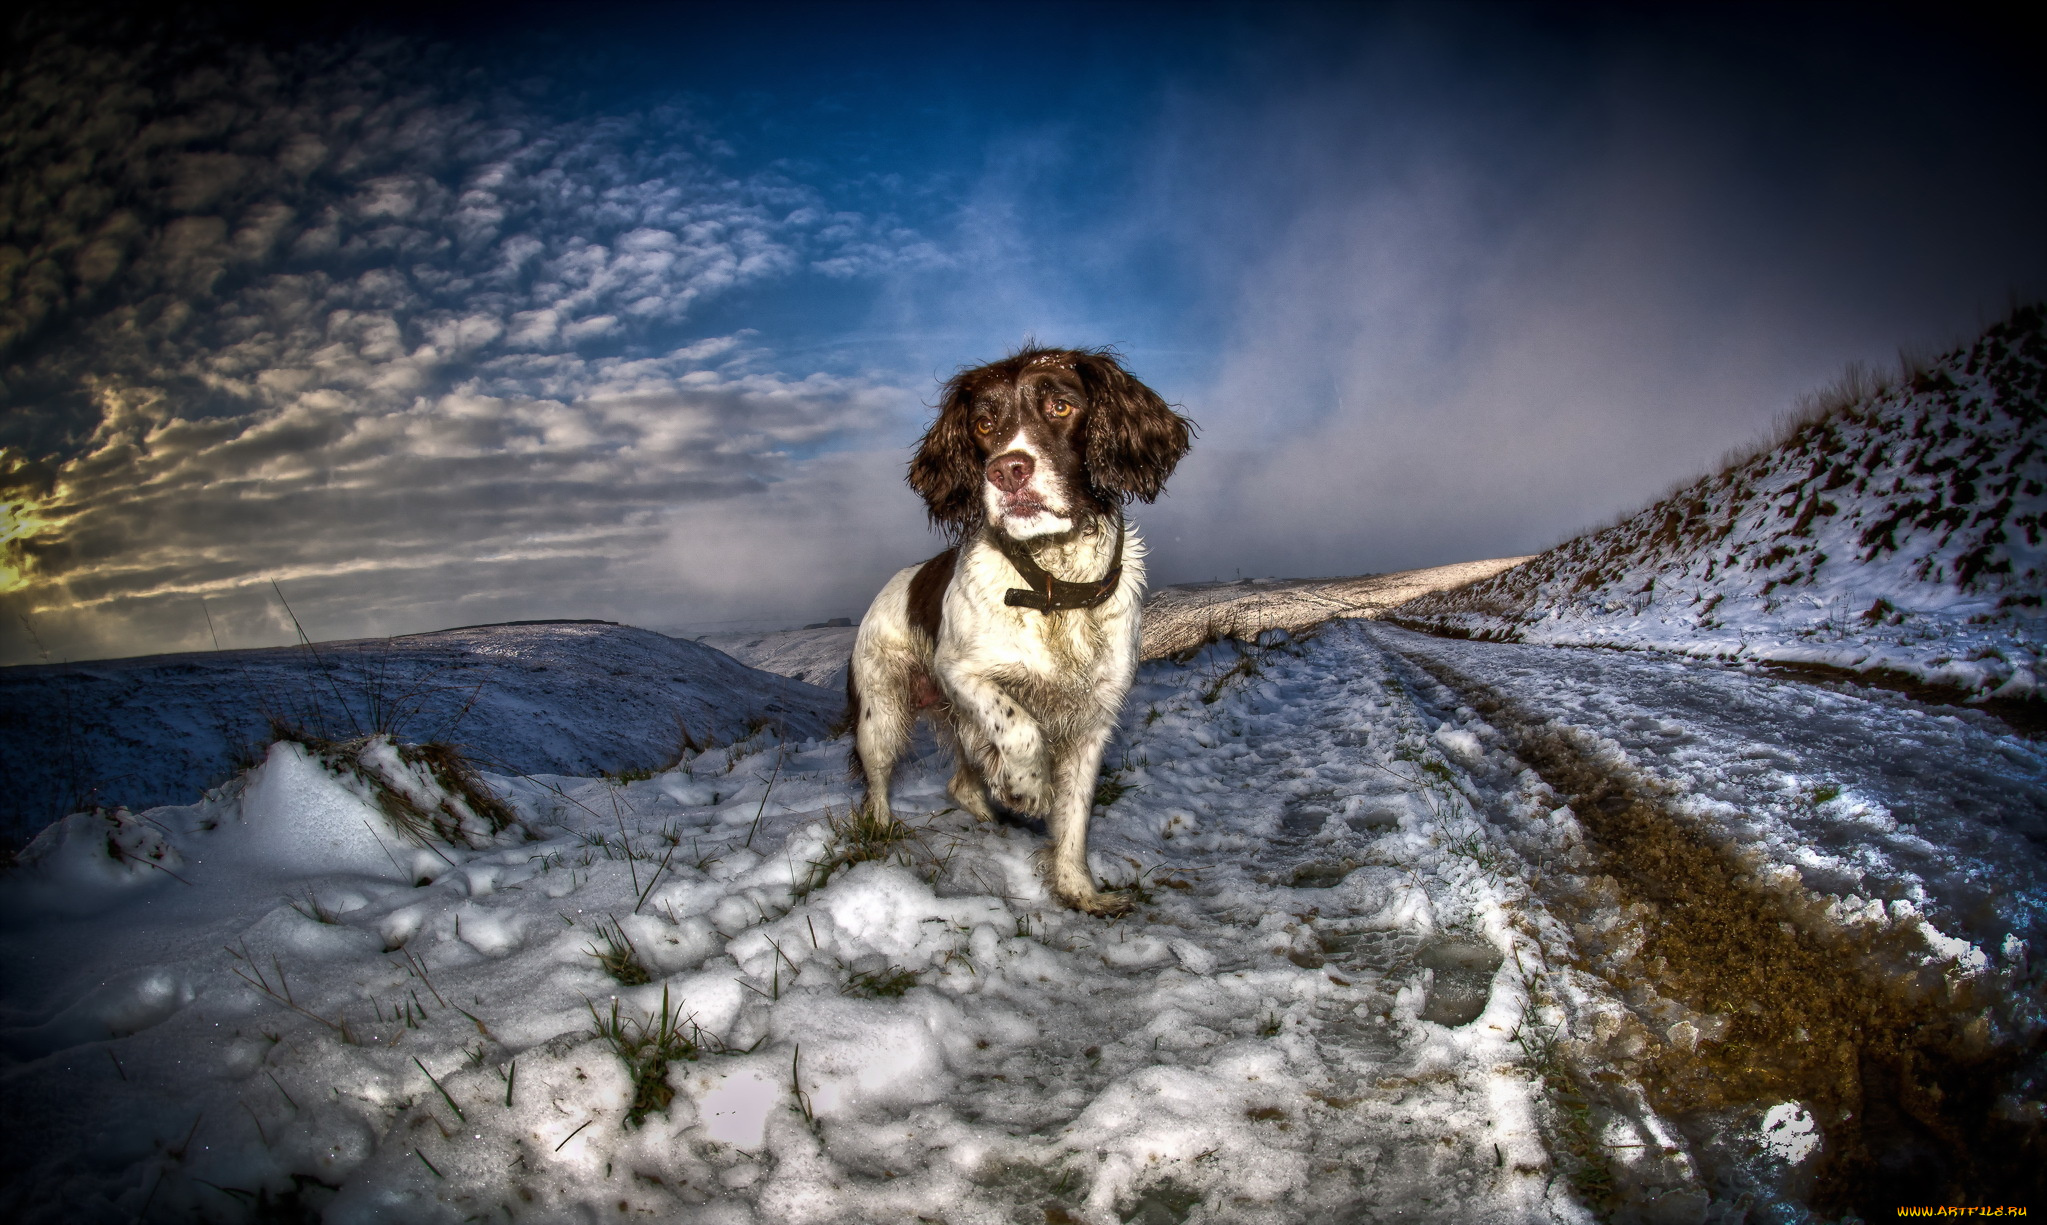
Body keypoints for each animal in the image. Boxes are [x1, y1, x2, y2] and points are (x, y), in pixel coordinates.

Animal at [847, 346, 1195, 913]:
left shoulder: (1094, 718)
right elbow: (1019, 725)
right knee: (878, 779)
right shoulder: (960, 672)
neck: (1054, 588)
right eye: (983, 424)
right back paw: (882, 829)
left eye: (1060, 406)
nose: (1007, 470)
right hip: (881, 712)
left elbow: (1074, 818)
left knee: (962, 782)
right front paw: (1029, 788)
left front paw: (1079, 891)